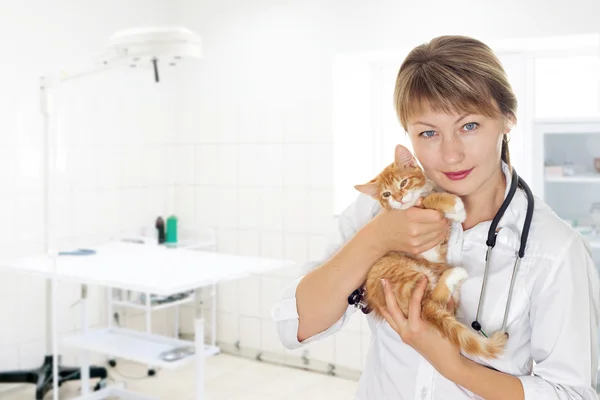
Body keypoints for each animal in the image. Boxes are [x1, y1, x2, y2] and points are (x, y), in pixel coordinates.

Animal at [354, 145, 508, 360]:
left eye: (403, 182)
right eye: (386, 194)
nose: (399, 199)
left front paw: (455, 212)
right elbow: (430, 200)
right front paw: (455, 205)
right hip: (406, 276)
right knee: (432, 300)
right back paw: (455, 274)